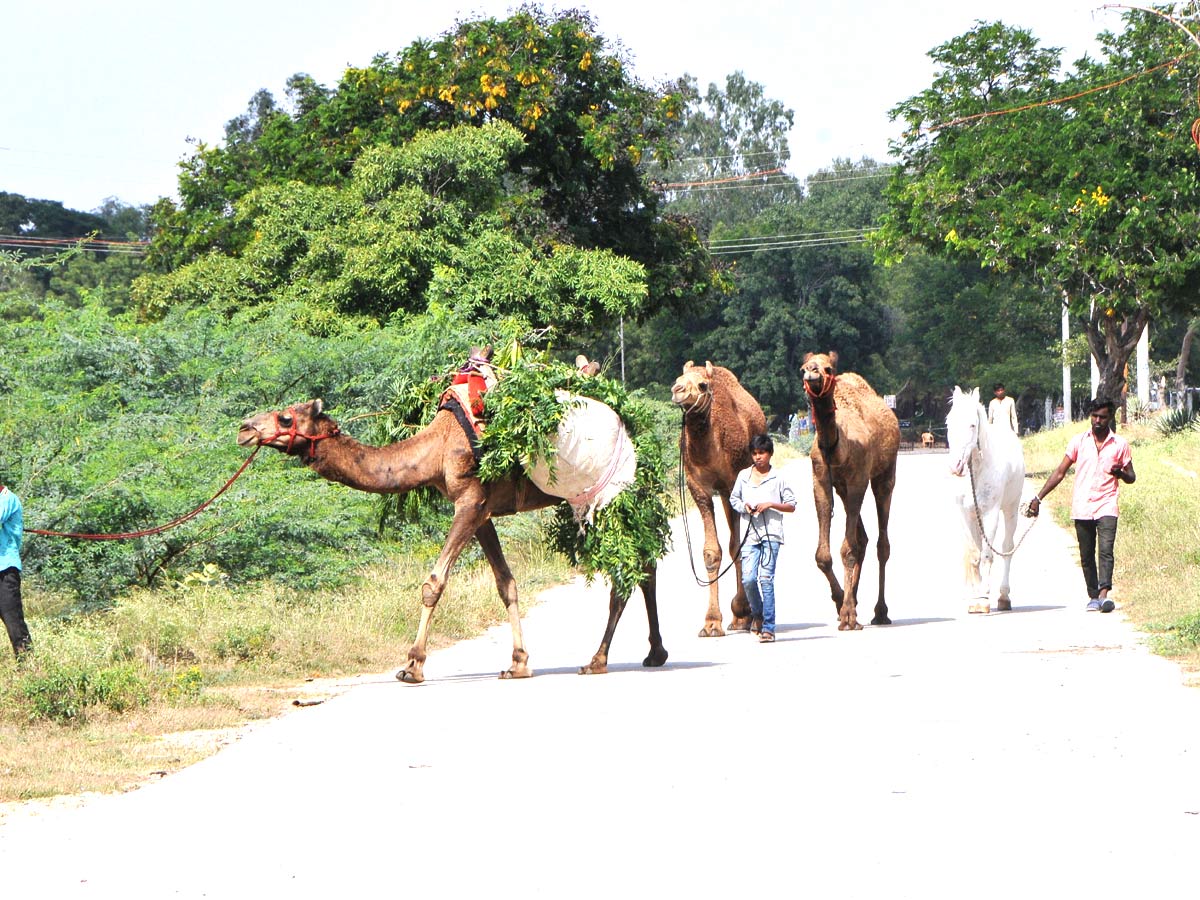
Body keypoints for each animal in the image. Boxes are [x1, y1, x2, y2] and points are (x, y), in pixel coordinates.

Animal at [234, 396, 667, 681]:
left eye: (285, 417)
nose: (244, 429)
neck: (436, 449)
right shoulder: (481, 511)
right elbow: (506, 583)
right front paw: (518, 663)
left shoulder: (470, 501)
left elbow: (434, 583)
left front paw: (412, 665)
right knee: (645, 563)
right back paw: (654, 654)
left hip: (611, 493)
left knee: (629, 566)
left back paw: (597, 660)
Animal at [672, 357, 763, 633]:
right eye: (678, 379)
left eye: (702, 384)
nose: (677, 390)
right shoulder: (698, 488)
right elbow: (711, 552)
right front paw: (711, 622)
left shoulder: (731, 484)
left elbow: (736, 546)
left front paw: (742, 612)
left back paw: (744, 615)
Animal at [801, 348, 897, 628]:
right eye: (803, 367)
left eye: (828, 369)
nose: (811, 373)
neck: (836, 447)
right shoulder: (821, 479)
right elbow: (824, 555)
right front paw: (841, 602)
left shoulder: (858, 480)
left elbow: (847, 548)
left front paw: (847, 615)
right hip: (843, 489)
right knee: (862, 539)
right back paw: (852, 599)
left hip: (885, 474)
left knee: (881, 543)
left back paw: (880, 612)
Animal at [945, 386, 1022, 614]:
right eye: (948, 423)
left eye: (972, 424)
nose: (956, 467)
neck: (977, 471)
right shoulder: (965, 514)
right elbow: (974, 554)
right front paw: (974, 598)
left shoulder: (991, 514)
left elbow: (987, 555)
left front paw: (984, 597)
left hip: (1011, 509)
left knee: (1007, 548)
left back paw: (1004, 597)